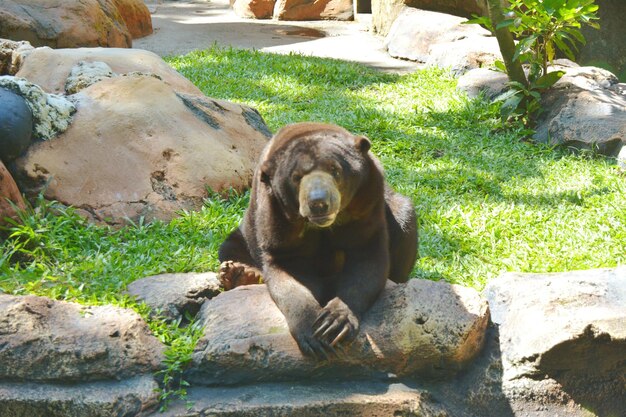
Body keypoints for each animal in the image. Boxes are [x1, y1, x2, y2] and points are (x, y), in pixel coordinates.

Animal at [217, 120, 416, 358]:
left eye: (335, 170)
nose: (319, 202)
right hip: (246, 233)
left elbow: (366, 259)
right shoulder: (277, 221)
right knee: (229, 248)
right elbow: (287, 271)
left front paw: (335, 323)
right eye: (296, 178)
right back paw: (239, 273)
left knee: (405, 220)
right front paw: (313, 334)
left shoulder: (367, 204)